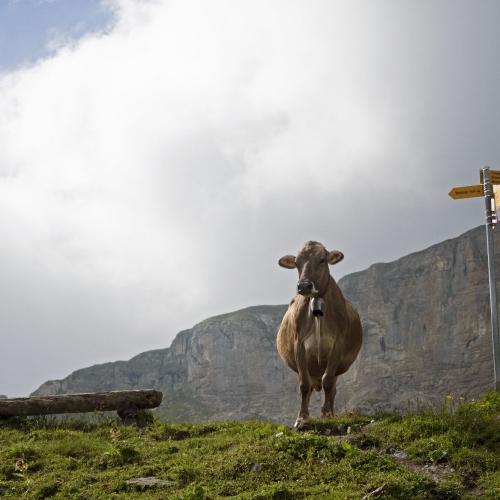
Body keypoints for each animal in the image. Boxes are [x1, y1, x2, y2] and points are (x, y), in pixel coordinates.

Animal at [278, 241, 364, 426]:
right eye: (297, 262)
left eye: (322, 260)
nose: (304, 286)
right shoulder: (299, 345)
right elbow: (304, 385)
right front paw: (302, 417)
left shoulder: (338, 345)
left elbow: (328, 381)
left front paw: (326, 414)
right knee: (309, 386)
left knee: (331, 388)